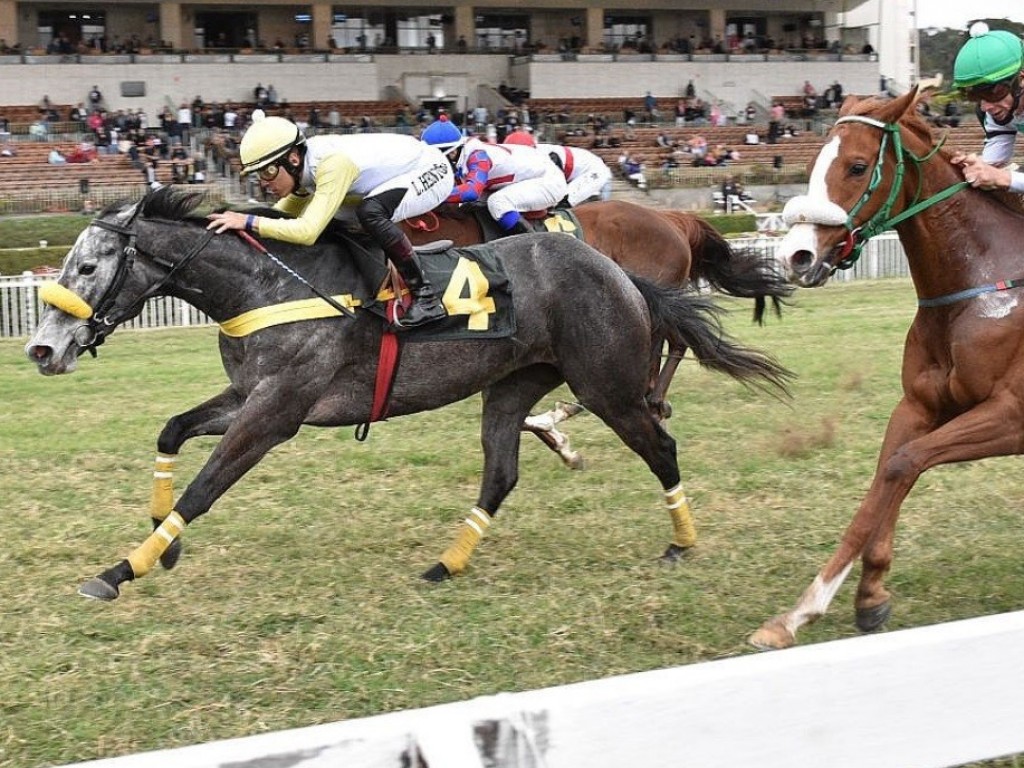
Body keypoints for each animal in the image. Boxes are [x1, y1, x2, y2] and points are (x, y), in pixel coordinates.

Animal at [401, 199, 790, 468]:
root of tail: (673, 218)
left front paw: (558, 433)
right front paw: (558, 435)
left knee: (668, 345)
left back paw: (652, 400)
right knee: (672, 343)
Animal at [749, 88, 1024, 651]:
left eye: (857, 167)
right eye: (814, 163)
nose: (795, 255)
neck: (984, 284)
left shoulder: (1012, 416)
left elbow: (902, 464)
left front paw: (805, 610)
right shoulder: (919, 404)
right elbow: (889, 472)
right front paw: (860, 595)